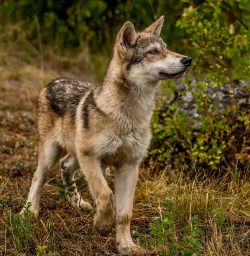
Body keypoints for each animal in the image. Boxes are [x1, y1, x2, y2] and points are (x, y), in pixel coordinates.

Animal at [22, 15, 192, 254]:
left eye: (166, 48)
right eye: (154, 52)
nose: (188, 60)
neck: (129, 116)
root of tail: (53, 81)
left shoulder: (130, 165)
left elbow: (124, 213)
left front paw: (126, 245)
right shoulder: (92, 158)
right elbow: (105, 195)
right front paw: (102, 224)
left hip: (77, 156)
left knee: (65, 167)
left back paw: (77, 203)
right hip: (52, 154)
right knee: (39, 176)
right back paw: (28, 212)